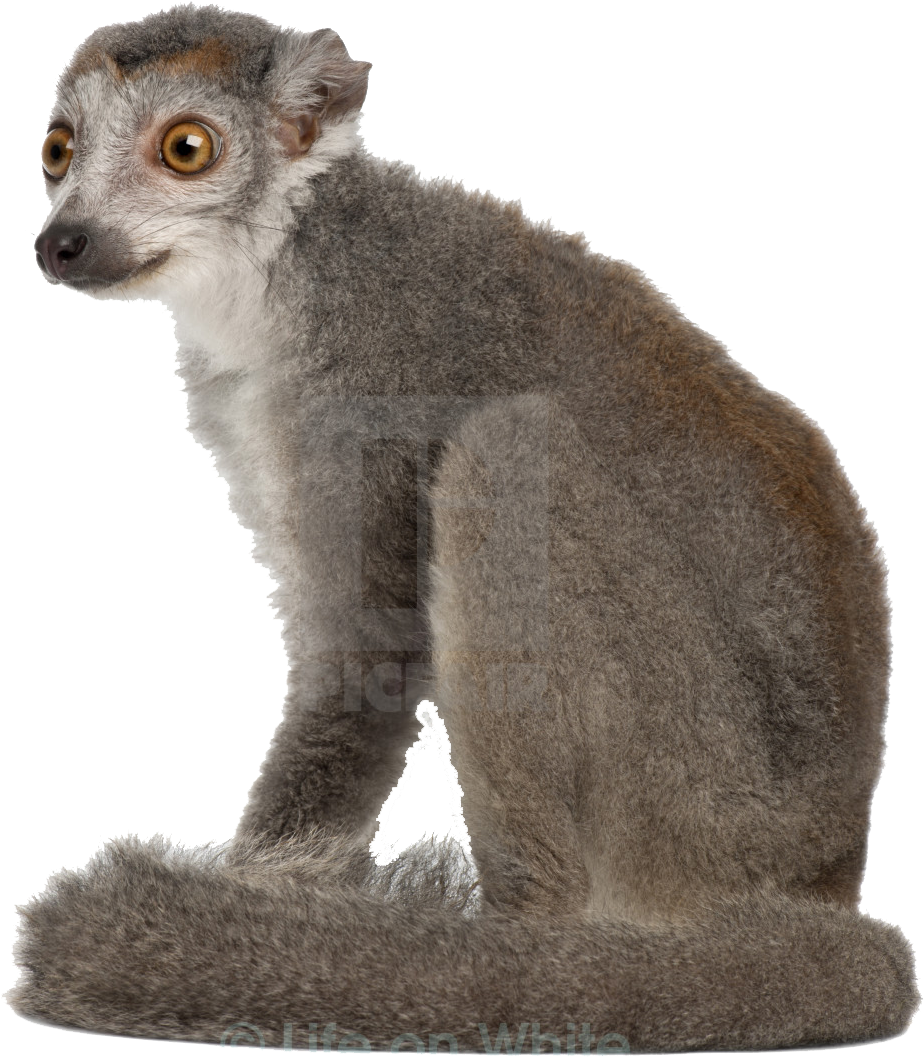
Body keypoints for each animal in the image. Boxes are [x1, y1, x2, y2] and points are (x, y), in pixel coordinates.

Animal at [9, 5, 918, 1051]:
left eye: (186, 148)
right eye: (58, 150)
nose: (67, 240)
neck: (278, 268)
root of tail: (822, 871)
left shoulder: (360, 385)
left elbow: (365, 655)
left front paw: (254, 914)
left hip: (696, 794)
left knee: (505, 452)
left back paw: (515, 963)